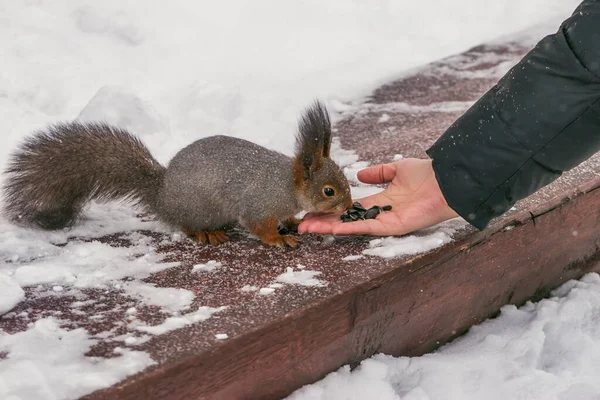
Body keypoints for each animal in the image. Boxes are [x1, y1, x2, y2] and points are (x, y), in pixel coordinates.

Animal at [2, 99, 352, 247]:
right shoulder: (257, 203)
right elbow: (257, 225)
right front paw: (278, 239)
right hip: (196, 209)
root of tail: (162, 194)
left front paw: (291, 221)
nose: (349, 207)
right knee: (185, 226)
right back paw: (206, 233)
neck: (287, 186)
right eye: (329, 191)